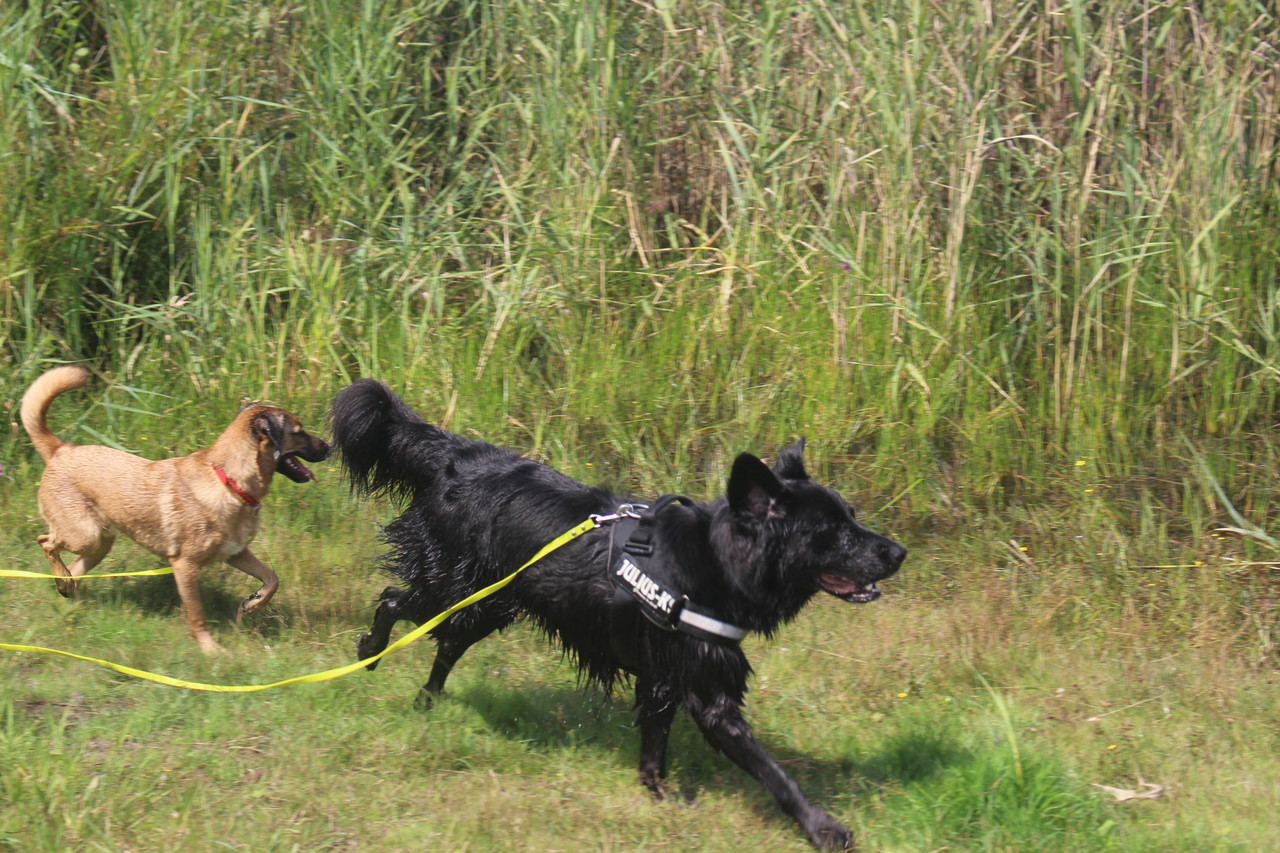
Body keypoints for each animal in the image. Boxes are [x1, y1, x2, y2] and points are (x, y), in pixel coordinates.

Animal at [20, 365, 331, 654]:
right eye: (298, 432)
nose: (329, 447)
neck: (228, 481)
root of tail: (61, 449)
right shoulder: (185, 566)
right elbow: (197, 616)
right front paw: (210, 650)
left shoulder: (237, 553)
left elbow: (272, 578)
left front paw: (253, 604)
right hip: (84, 535)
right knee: (45, 542)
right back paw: (61, 577)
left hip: (100, 543)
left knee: (73, 569)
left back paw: (66, 586)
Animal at [330, 379, 905, 850]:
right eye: (831, 531)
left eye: (853, 516)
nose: (898, 552)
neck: (712, 560)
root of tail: (457, 455)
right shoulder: (706, 693)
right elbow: (773, 772)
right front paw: (823, 828)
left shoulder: (663, 678)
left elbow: (655, 749)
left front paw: (657, 798)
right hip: (453, 585)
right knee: (393, 598)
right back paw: (369, 653)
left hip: (490, 603)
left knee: (447, 643)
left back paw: (426, 701)